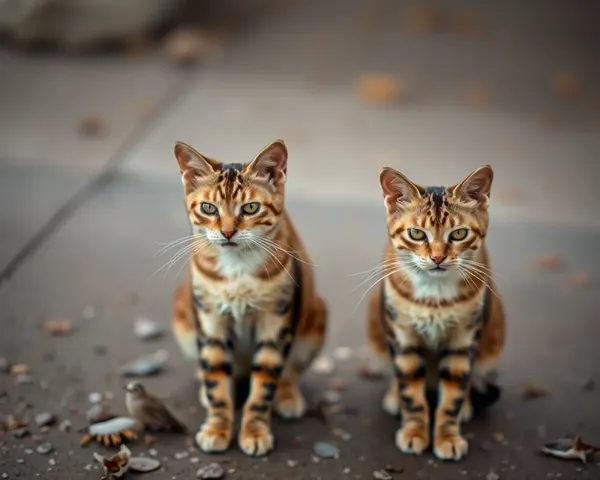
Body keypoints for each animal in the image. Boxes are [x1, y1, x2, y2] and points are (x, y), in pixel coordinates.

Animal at [169, 140, 328, 458]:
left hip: (315, 315)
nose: (228, 232)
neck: (238, 267)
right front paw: (217, 428)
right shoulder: (210, 319)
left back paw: (287, 395)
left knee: (290, 370)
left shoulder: (275, 320)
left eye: (251, 207)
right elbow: (216, 378)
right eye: (208, 208)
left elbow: (263, 385)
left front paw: (254, 431)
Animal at [368, 164, 504, 462]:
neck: (434, 295)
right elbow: (411, 394)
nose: (438, 258)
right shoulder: (403, 337)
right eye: (417, 234)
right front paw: (414, 431)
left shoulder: (464, 340)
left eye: (459, 234)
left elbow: (452, 396)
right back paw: (394, 397)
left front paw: (448, 436)